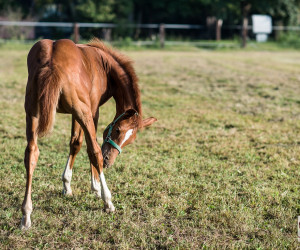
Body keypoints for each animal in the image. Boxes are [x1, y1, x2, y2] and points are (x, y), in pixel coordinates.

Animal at [21, 38, 157, 229]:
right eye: (117, 130)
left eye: (129, 141)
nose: (108, 161)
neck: (105, 65)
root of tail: (52, 60)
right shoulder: (93, 111)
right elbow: (85, 146)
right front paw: (95, 187)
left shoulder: (73, 114)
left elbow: (74, 143)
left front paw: (67, 185)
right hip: (82, 112)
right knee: (94, 151)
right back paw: (108, 201)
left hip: (32, 111)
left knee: (31, 154)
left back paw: (26, 214)